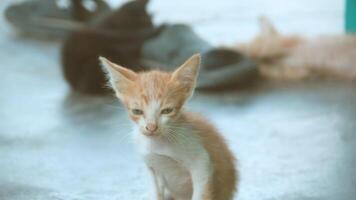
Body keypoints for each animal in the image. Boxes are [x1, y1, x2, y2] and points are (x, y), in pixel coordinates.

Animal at [100, 54, 238, 199]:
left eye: (167, 111)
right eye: (137, 111)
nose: (151, 127)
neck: (156, 144)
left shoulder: (202, 163)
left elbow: (200, 194)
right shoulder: (151, 166)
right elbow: (155, 193)